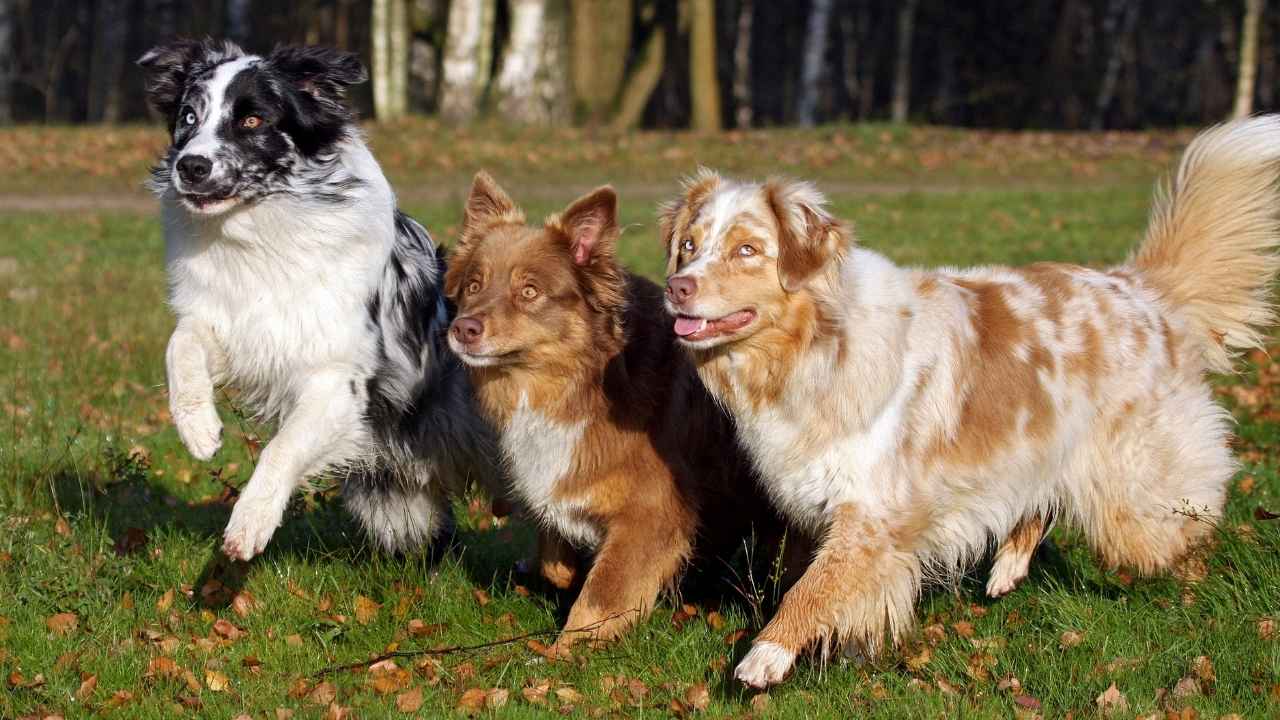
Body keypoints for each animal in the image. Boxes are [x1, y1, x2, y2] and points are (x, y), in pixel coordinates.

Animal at [138, 39, 499, 558]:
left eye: (253, 120)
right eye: (189, 116)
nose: (191, 166)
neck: (262, 236)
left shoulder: (338, 382)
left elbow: (282, 447)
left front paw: (250, 521)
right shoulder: (235, 326)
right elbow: (180, 344)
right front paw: (198, 427)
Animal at [440, 172, 778, 645]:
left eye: (529, 291)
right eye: (474, 285)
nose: (462, 329)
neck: (577, 383)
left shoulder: (651, 511)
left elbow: (600, 596)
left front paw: (564, 649)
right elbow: (554, 551)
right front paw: (561, 569)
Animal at [660, 117, 1280, 681]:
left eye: (747, 250)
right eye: (688, 246)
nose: (676, 287)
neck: (813, 351)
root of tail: (1140, 287)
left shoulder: (873, 511)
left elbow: (811, 590)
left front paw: (767, 655)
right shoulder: (825, 509)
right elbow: (820, 582)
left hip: (1133, 498)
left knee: (1189, 514)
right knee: (1042, 500)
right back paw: (1008, 567)